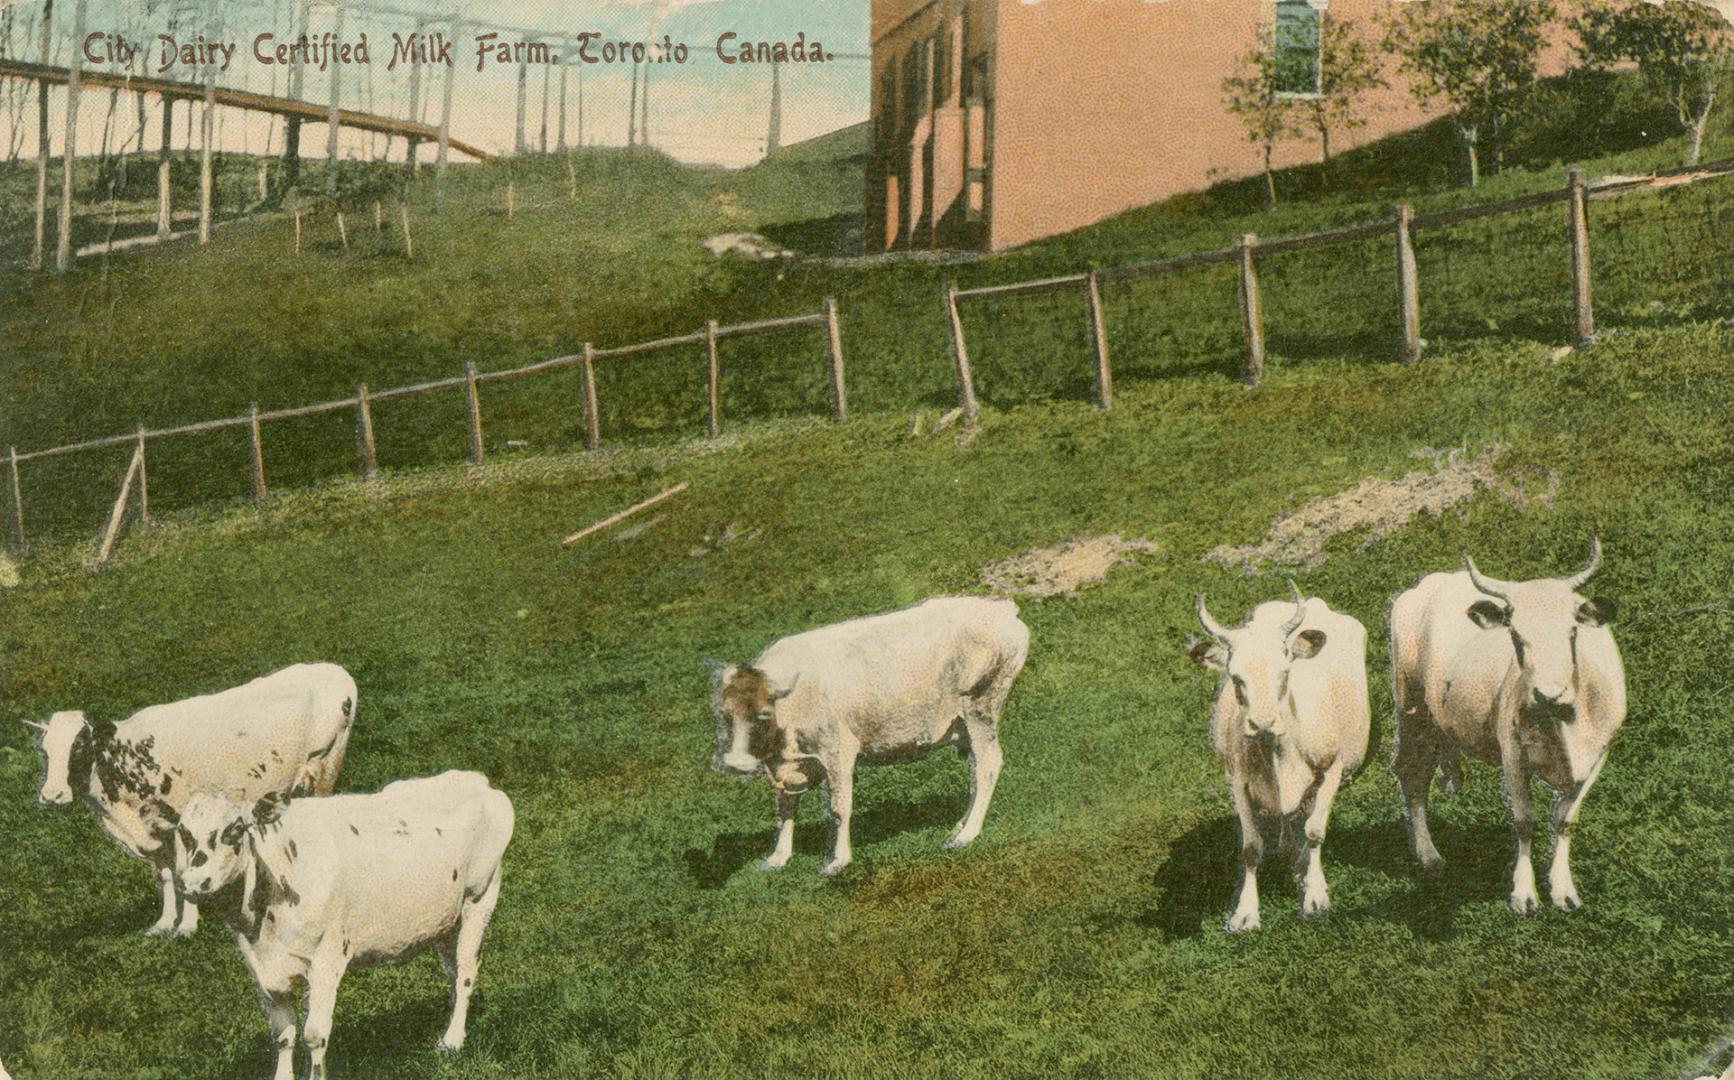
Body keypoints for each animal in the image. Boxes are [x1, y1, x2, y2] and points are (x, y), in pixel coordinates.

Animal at [23, 662, 357, 936]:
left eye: (80, 747)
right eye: (45, 751)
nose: (51, 795)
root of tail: (335, 670)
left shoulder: (182, 822)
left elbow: (185, 872)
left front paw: (187, 926)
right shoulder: (154, 829)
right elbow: (166, 877)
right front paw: (164, 923)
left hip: (326, 765)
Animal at [173, 769, 509, 1080]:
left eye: (236, 829)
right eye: (184, 833)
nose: (194, 883)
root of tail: (475, 780)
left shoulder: (327, 958)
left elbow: (314, 1035)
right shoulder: (261, 969)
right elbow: (282, 1036)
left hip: (479, 899)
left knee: (466, 972)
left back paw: (452, 1040)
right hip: (444, 923)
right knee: (453, 973)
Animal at [707, 596, 1019, 884]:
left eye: (763, 714)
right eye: (722, 714)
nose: (735, 764)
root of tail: (1001, 607)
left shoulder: (837, 751)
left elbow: (838, 808)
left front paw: (837, 861)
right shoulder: (790, 765)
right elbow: (784, 809)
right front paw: (777, 858)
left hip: (981, 707)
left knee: (988, 766)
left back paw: (967, 835)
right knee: (976, 772)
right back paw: (958, 827)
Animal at [1380, 537, 1623, 915]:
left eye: (1572, 632)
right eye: (1516, 635)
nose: (1549, 694)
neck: (1563, 724)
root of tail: (1432, 581)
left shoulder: (1597, 757)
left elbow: (1565, 821)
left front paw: (1562, 888)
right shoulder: (1512, 754)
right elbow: (1524, 821)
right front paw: (1523, 893)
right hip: (1411, 708)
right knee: (1412, 774)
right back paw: (1429, 855)